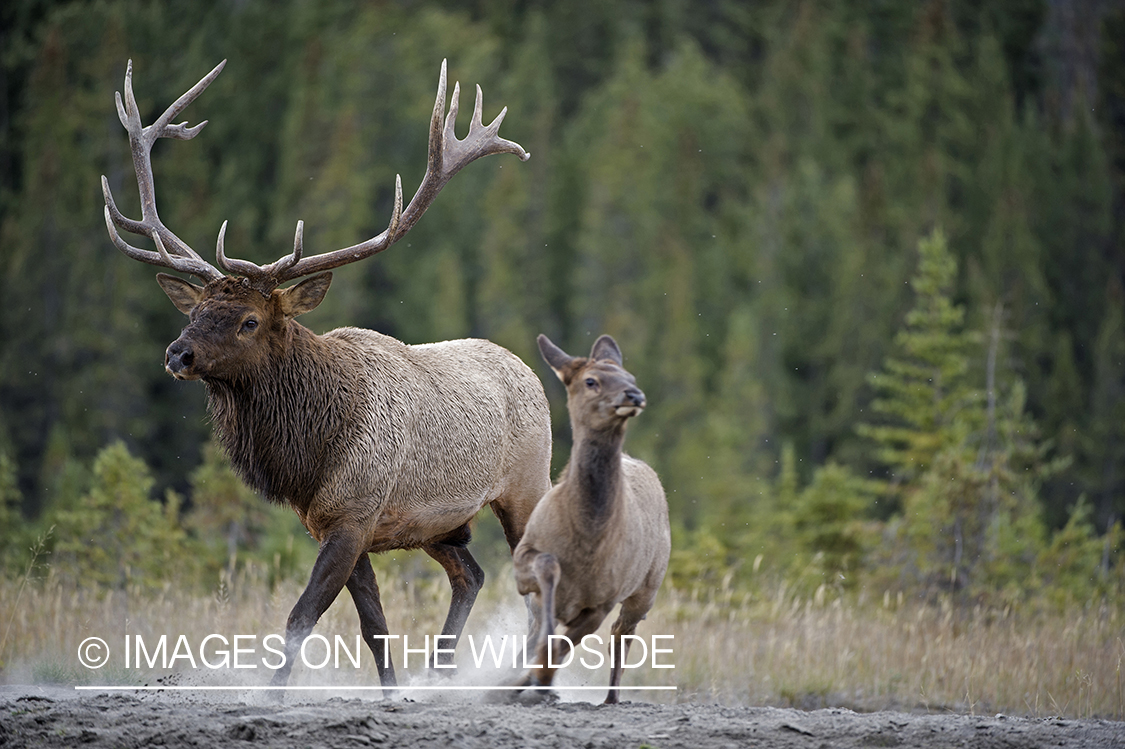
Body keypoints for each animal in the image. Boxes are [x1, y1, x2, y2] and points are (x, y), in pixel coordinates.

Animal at [101, 59, 549, 688]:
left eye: (248, 320)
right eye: (194, 311)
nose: (177, 355)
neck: (308, 453)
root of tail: (530, 373)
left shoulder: (353, 517)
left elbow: (300, 617)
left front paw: (271, 696)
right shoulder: (340, 522)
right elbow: (374, 624)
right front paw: (391, 693)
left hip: (526, 487)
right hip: (440, 526)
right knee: (472, 575)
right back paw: (441, 671)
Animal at [515, 332, 670, 701]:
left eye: (631, 377)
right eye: (591, 380)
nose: (634, 395)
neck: (585, 539)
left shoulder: (602, 599)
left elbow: (561, 646)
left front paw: (540, 678)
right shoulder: (523, 561)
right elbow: (547, 574)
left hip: (647, 587)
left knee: (622, 634)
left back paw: (610, 696)